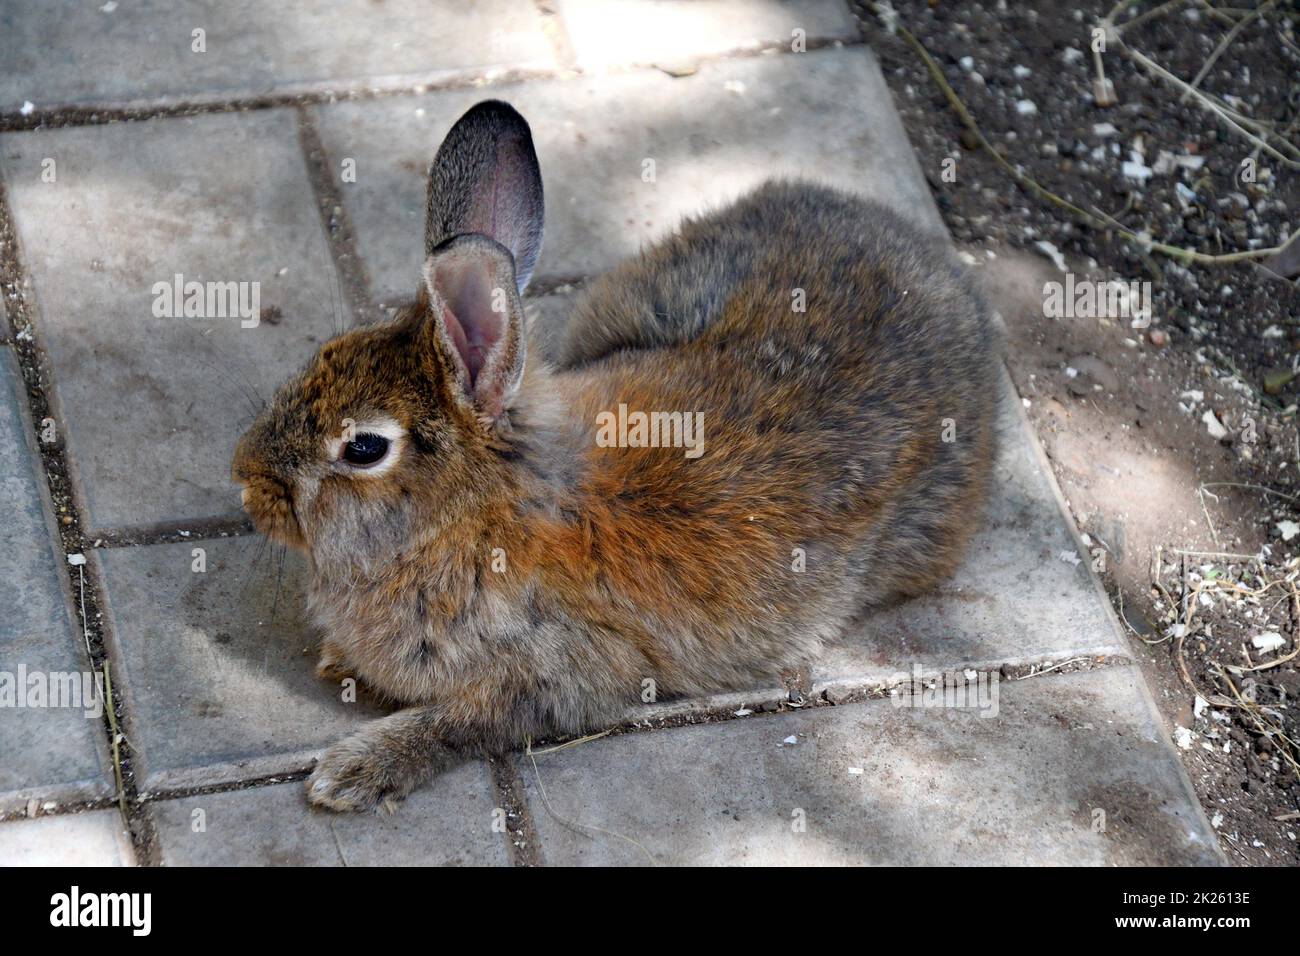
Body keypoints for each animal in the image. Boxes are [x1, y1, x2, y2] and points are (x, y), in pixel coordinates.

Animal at [231, 99, 1000, 812]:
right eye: (326, 353)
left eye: (364, 447)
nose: (246, 481)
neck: (474, 516)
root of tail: (943, 275)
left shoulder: (562, 673)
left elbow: (463, 724)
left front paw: (351, 773)